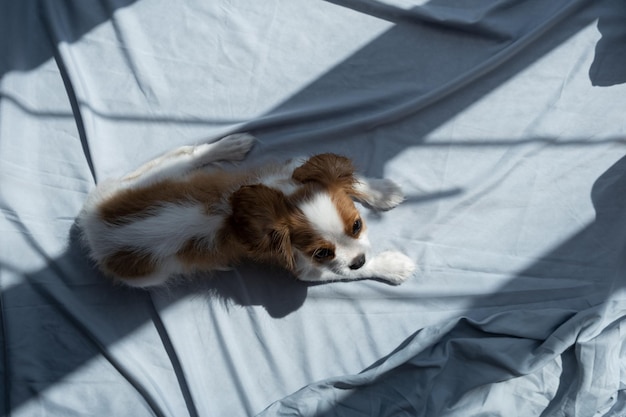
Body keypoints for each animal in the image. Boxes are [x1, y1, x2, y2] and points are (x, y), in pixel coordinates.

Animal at [78, 133, 414, 286]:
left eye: (357, 225)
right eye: (322, 253)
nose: (357, 259)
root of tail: (92, 227)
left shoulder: (294, 170)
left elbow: (351, 182)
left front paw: (383, 192)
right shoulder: (307, 269)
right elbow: (348, 274)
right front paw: (391, 266)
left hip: (158, 175)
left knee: (189, 154)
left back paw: (228, 146)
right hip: (149, 275)